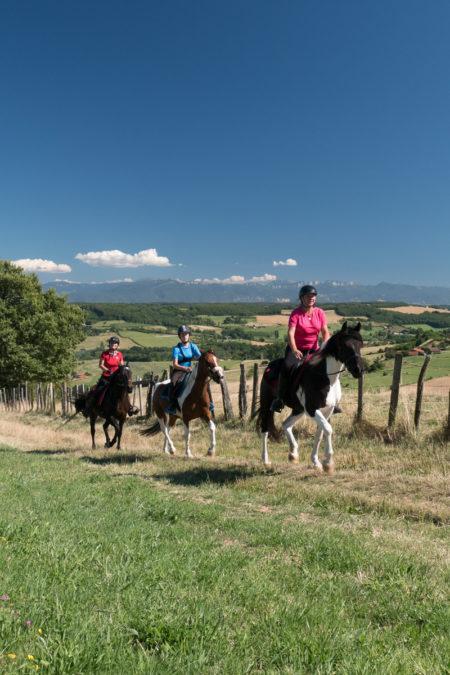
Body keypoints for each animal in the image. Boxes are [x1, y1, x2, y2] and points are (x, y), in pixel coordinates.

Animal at [255, 324, 364, 472]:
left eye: (360, 344)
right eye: (344, 345)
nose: (358, 369)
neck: (326, 377)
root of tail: (269, 367)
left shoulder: (328, 410)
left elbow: (320, 434)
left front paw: (317, 462)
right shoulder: (312, 409)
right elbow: (328, 429)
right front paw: (328, 462)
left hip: (298, 410)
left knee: (286, 424)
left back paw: (293, 453)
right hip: (267, 406)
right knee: (265, 430)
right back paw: (266, 460)